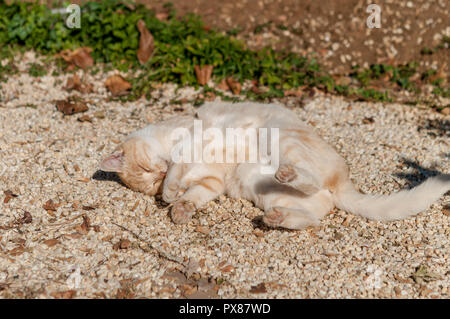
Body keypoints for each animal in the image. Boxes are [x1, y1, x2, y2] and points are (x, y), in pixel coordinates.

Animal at [99, 102, 450, 230]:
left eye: (147, 172)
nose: (157, 177)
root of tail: (342, 183)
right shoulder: (212, 181)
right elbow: (195, 194)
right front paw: (179, 206)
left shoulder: (195, 142)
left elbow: (179, 166)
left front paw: (171, 191)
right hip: (266, 191)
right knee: (312, 218)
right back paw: (277, 218)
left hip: (281, 139)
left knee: (307, 180)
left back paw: (289, 175)